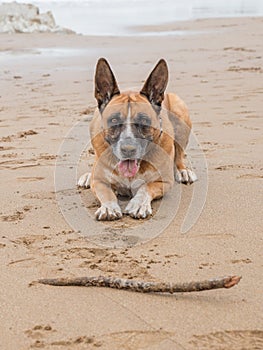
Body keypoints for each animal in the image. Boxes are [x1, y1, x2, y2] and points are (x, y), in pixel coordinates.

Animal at [77, 58, 197, 220]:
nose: (128, 150)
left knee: (178, 155)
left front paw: (139, 204)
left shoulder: (163, 181)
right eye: (114, 120)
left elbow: (146, 187)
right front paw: (109, 207)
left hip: (181, 112)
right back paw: (88, 176)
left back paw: (183, 171)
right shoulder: (99, 182)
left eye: (144, 121)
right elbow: (106, 192)